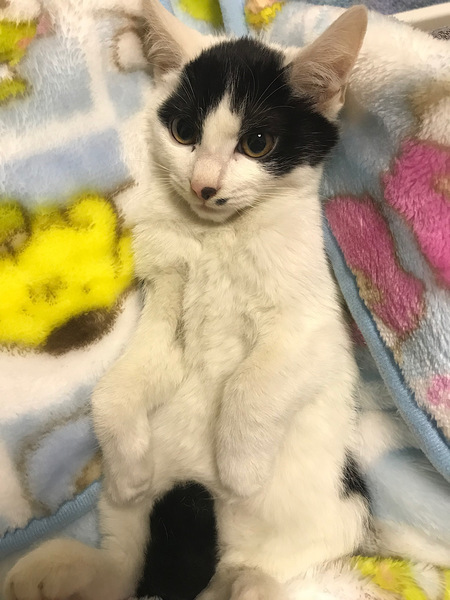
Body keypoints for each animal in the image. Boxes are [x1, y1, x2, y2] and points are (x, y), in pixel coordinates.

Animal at [3, 2, 400, 600]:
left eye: (257, 143)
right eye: (185, 132)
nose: (204, 185)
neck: (218, 238)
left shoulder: (312, 326)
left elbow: (250, 386)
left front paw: (238, 469)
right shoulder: (166, 306)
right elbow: (113, 387)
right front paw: (127, 465)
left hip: (334, 520)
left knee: (280, 573)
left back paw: (248, 579)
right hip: (128, 522)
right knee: (126, 573)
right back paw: (51, 569)